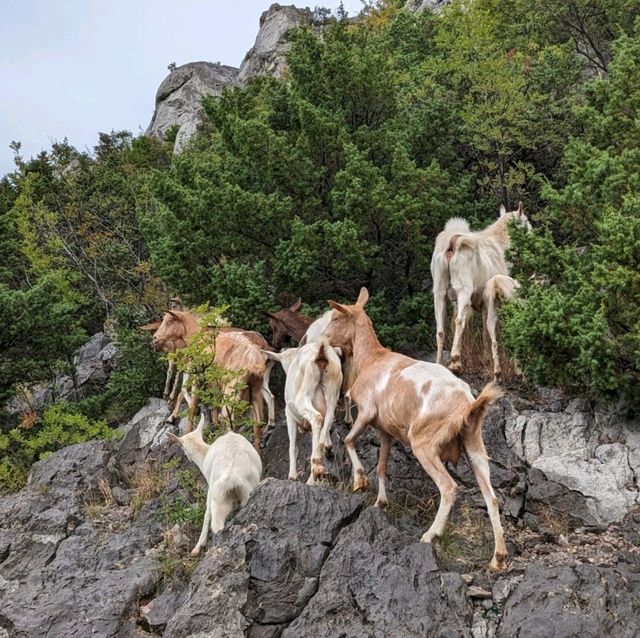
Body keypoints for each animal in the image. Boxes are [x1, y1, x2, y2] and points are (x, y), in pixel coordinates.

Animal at [169, 418, 264, 556]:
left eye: (182, 447)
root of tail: (232, 476)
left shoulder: (210, 486)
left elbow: (206, 514)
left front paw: (197, 547)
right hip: (248, 490)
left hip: (218, 497)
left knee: (217, 525)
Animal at [262, 340, 342, 484]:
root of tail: (321, 352)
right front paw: (328, 448)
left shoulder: (289, 415)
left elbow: (293, 446)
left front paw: (292, 476)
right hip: (332, 396)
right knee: (326, 422)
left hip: (303, 396)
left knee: (316, 418)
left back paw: (314, 472)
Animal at [322, 288, 508, 572]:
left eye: (334, 317)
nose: (321, 338)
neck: (372, 359)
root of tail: (468, 404)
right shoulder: (385, 430)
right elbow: (382, 466)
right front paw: (380, 501)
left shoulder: (366, 413)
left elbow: (349, 441)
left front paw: (359, 481)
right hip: (474, 446)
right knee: (492, 498)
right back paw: (498, 557)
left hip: (424, 444)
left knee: (449, 487)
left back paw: (431, 534)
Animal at [432, 204, 532, 376]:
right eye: (525, 221)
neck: (502, 246)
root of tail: (452, 244)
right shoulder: (488, 300)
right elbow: (486, 329)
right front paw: (486, 358)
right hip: (463, 288)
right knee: (459, 321)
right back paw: (456, 362)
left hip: (439, 288)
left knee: (441, 329)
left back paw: (439, 363)